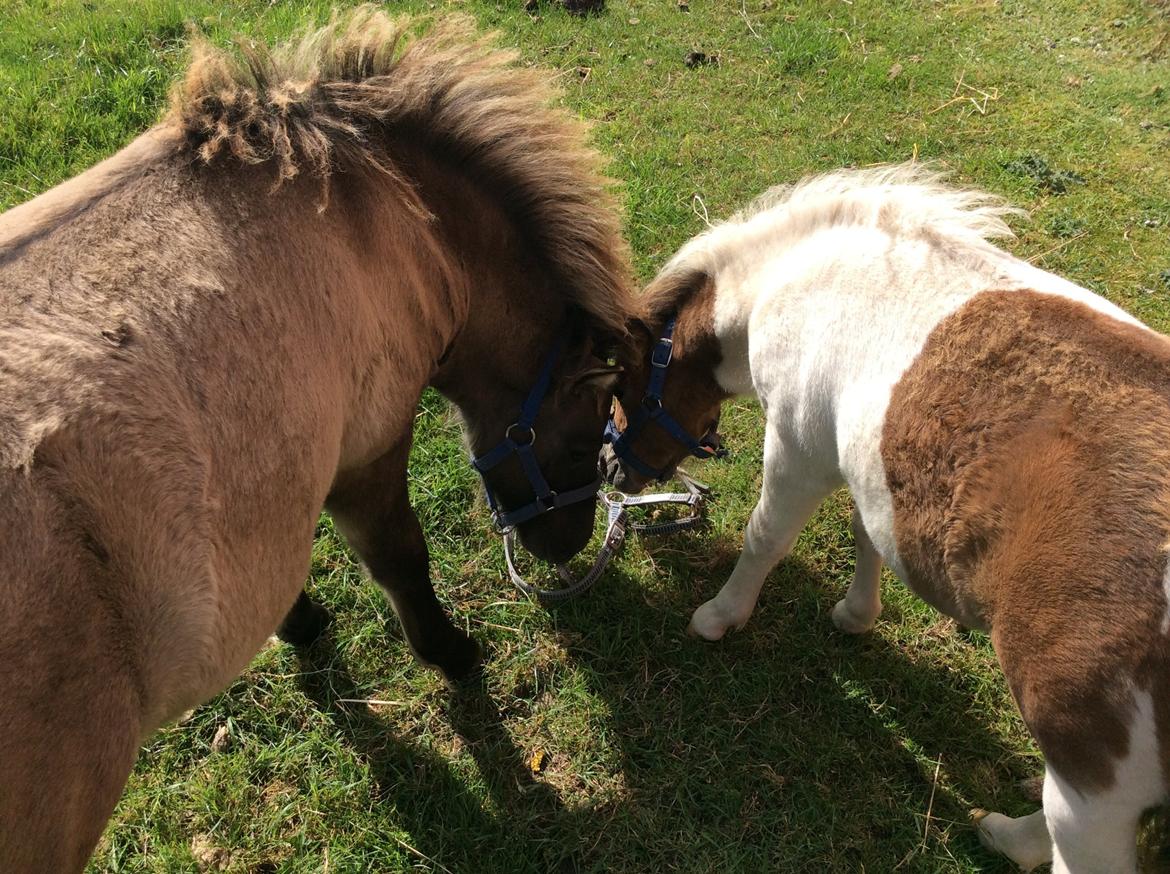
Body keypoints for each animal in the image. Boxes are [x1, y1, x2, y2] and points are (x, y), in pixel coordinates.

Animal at [0, 10, 631, 870]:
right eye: (580, 438)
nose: (564, 549)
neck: (384, 210)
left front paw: (300, 624)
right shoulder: (368, 453)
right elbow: (402, 560)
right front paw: (451, 654)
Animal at [608, 162, 1170, 870]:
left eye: (624, 387)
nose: (611, 469)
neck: (800, 281)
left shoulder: (798, 448)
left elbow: (765, 537)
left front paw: (720, 616)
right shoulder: (867, 465)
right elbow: (867, 532)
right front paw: (857, 614)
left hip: (1094, 788)